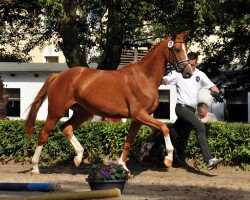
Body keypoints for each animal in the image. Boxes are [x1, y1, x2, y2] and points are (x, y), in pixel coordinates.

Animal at [24, 30, 191, 174]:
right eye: (177, 49)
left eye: (187, 49)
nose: (188, 72)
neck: (145, 77)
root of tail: (58, 76)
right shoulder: (139, 114)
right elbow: (164, 127)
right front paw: (168, 159)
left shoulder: (138, 119)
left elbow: (129, 141)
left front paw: (123, 167)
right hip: (55, 112)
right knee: (44, 133)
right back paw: (35, 167)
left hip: (83, 112)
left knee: (66, 127)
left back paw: (78, 157)